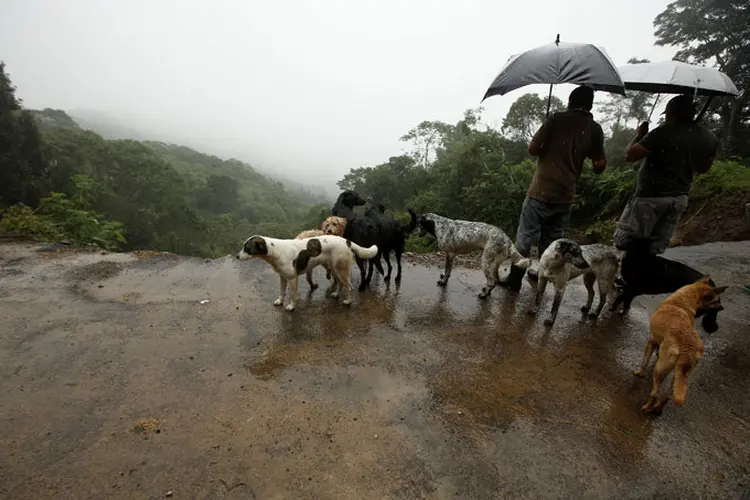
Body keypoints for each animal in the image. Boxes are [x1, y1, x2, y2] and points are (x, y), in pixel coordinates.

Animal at [235, 233, 378, 310]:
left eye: (247, 248)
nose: (236, 256)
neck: (276, 251)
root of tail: (347, 241)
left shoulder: (292, 278)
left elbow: (293, 294)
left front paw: (291, 306)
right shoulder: (282, 277)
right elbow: (282, 291)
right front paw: (280, 301)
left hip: (341, 269)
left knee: (349, 287)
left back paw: (348, 301)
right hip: (334, 268)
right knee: (340, 283)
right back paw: (336, 294)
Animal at [636, 276, 728, 412]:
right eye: (716, 300)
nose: (722, 308)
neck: (680, 302)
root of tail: (687, 347)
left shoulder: (651, 341)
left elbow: (644, 361)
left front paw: (639, 372)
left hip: (659, 369)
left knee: (655, 392)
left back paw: (647, 407)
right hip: (680, 374)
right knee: (668, 395)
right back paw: (658, 408)